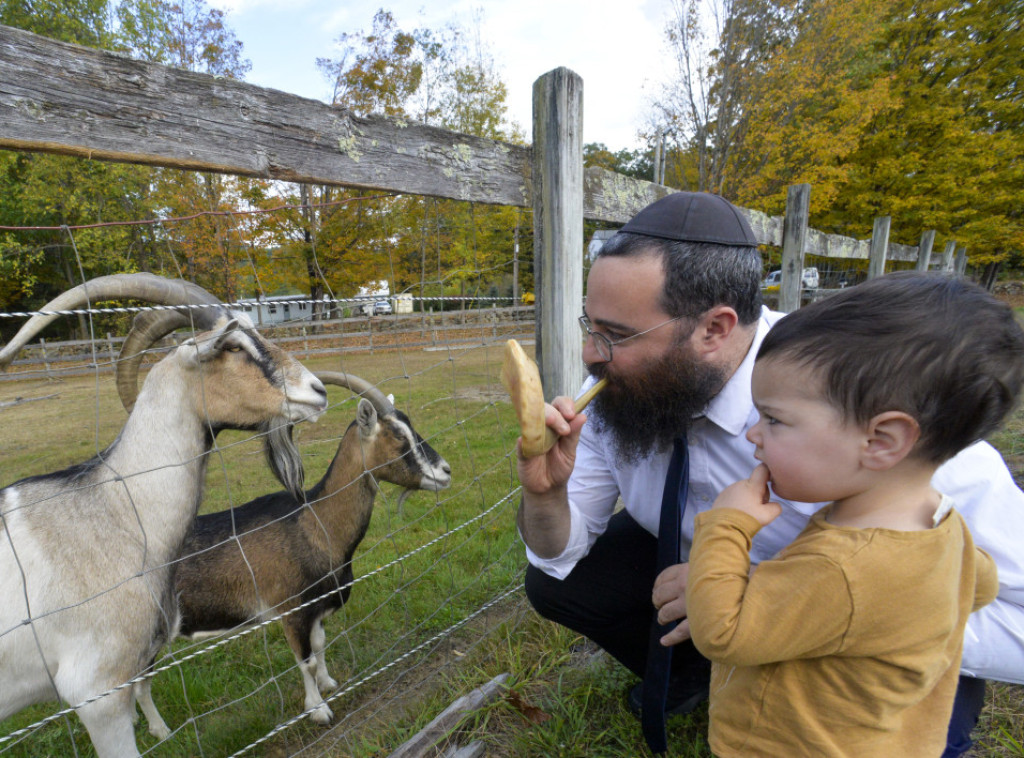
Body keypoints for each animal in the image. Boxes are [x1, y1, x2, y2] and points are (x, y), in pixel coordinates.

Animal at [136, 370, 452, 729]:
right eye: (398, 435)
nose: (445, 472)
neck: (314, 524)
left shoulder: (316, 609)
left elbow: (320, 645)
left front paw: (329, 684)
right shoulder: (292, 610)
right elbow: (306, 662)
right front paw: (318, 710)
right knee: (136, 686)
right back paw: (161, 731)